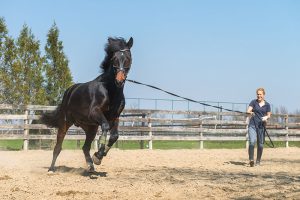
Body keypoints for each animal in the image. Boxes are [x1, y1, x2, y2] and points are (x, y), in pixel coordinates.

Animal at [41, 36, 134, 173]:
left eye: (128, 58)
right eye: (114, 59)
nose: (119, 80)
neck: (109, 90)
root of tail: (69, 92)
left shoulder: (115, 117)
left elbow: (114, 136)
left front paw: (99, 157)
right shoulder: (95, 112)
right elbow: (105, 127)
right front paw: (99, 154)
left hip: (90, 128)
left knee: (85, 147)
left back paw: (91, 167)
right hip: (65, 123)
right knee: (58, 147)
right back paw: (51, 169)